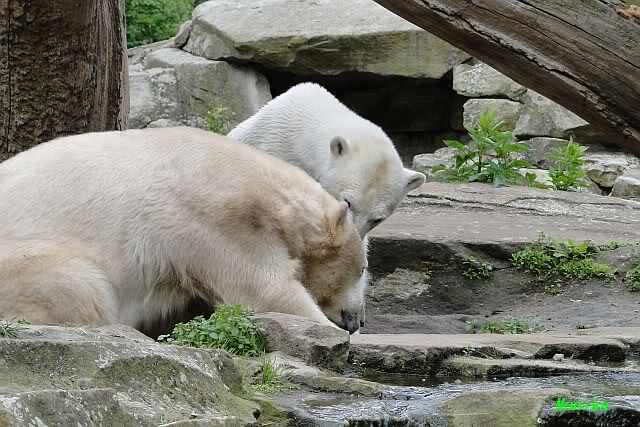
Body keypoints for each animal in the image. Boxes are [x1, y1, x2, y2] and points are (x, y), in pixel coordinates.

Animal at [0, 127, 367, 333]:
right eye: (363, 269)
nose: (356, 320)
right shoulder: (214, 221)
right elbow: (266, 289)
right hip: (28, 259)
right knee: (82, 288)